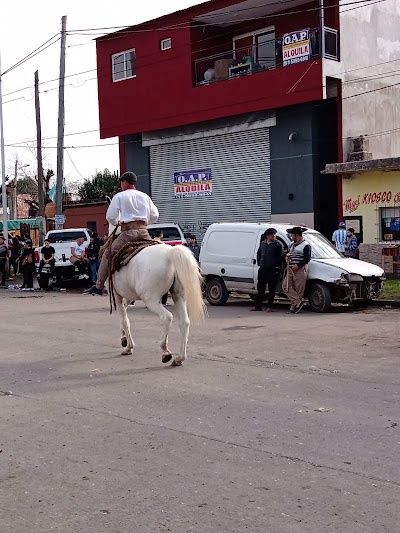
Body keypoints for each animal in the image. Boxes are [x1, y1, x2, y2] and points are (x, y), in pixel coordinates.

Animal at [109, 237, 206, 366]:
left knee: (167, 317)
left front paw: (128, 347)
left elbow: (125, 320)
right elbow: (124, 316)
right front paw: (124, 338)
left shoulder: (117, 295)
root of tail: (169, 253)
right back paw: (179, 358)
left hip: (151, 300)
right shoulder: (128, 296)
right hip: (178, 296)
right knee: (185, 322)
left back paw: (165, 351)